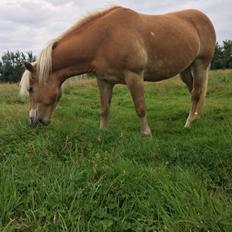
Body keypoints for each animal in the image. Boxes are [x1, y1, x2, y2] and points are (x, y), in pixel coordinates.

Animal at [19, 6, 216, 135]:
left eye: (31, 89)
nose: (31, 121)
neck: (104, 39)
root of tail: (204, 17)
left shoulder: (134, 77)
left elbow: (140, 107)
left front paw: (146, 134)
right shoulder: (104, 81)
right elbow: (104, 108)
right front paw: (103, 132)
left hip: (200, 64)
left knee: (196, 94)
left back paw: (188, 123)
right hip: (185, 69)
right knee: (194, 91)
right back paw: (196, 117)